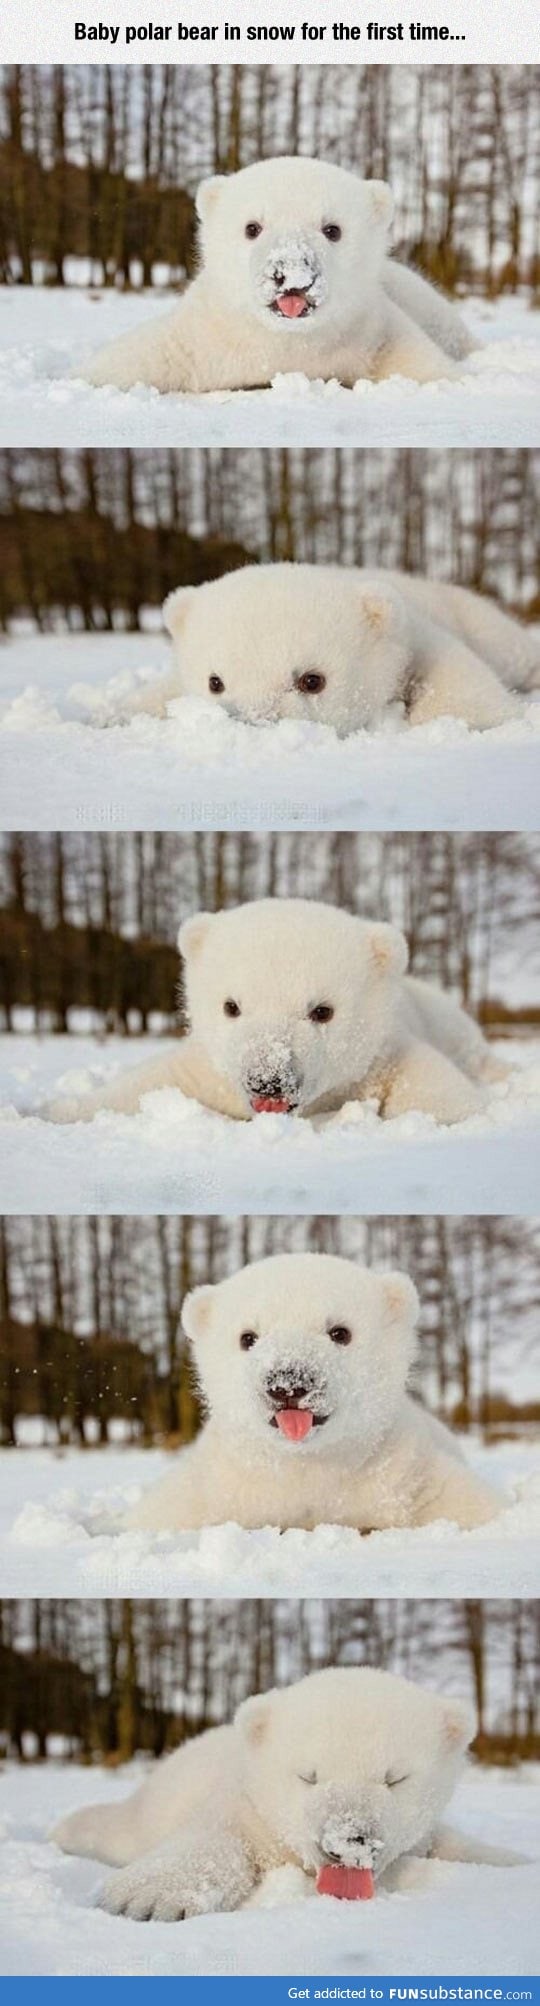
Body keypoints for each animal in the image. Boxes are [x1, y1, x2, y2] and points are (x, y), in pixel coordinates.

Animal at [49, 898, 503, 1131]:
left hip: (448, 1020)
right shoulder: (209, 1070)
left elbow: (437, 1091)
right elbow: (149, 1084)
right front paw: (56, 1111)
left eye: (322, 1011)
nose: (268, 1081)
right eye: (231, 1006)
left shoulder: (381, 1057)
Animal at [52, 1660, 517, 1909]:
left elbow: (453, 1843)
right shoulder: (243, 1806)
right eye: (308, 1775)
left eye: (394, 1778)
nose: (348, 1842)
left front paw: (512, 1863)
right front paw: (146, 1897)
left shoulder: (423, 1834)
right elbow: (215, 1838)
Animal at [81, 153, 473, 395]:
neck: (285, 344)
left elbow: (426, 366)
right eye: (252, 227)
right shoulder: (201, 337)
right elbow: (138, 356)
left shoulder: (373, 333)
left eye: (332, 229)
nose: (292, 273)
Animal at [126, 1251, 499, 1532]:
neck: (305, 1466)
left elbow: (467, 1503)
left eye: (340, 1332)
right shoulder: (217, 1487)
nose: (287, 1383)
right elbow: (167, 1511)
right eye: (248, 1337)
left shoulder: (405, 1475)